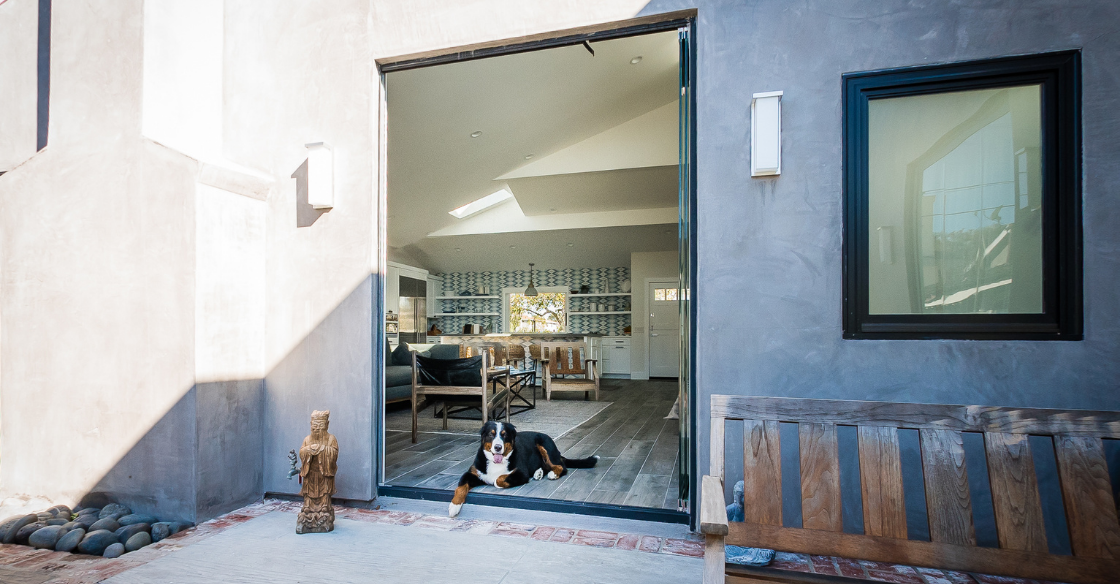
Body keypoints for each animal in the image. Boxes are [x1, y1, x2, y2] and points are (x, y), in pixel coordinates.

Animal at [448, 419, 600, 515]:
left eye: (504, 435)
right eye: (491, 434)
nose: (497, 447)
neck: (496, 462)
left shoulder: (521, 473)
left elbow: (498, 479)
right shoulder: (472, 473)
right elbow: (460, 486)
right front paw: (454, 506)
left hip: (544, 444)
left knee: (561, 466)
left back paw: (553, 474)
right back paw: (538, 473)